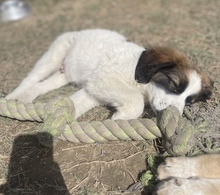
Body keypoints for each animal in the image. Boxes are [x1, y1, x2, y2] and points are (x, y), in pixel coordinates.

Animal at [5, 29, 213, 119]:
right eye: (173, 84)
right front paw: (121, 117)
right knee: (31, 78)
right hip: (53, 55)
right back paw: (14, 97)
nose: (175, 115)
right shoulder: (105, 78)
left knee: (42, 85)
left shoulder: (93, 87)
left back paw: (26, 97)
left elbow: (75, 104)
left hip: (64, 74)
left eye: (189, 102)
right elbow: (135, 100)